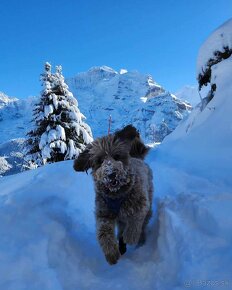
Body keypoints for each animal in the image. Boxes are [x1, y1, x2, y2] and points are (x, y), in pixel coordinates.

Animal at [74, 124, 153, 266]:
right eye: (99, 161)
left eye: (117, 156)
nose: (111, 174)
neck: (117, 194)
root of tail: (137, 158)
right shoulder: (104, 213)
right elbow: (104, 233)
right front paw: (111, 254)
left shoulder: (140, 204)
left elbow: (135, 221)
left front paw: (130, 237)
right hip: (120, 218)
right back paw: (121, 246)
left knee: (143, 224)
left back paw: (139, 240)